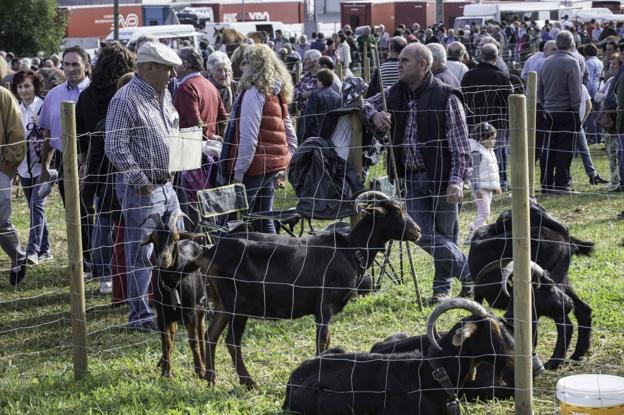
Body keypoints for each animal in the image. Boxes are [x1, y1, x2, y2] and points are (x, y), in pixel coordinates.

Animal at [139, 214, 207, 380]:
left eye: (175, 238)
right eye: (154, 239)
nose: (164, 259)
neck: (172, 283)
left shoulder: (189, 312)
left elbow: (193, 341)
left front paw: (200, 370)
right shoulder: (162, 315)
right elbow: (166, 342)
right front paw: (167, 371)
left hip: (201, 303)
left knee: (201, 331)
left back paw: (204, 361)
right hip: (172, 314)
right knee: (173, 332)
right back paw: (162, 362)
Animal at [193, 192, 422, 390]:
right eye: (397, 212)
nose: (417, 231)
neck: (351, 250)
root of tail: (209, 253)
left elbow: (326, 340)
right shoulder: (324, 306)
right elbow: (322, 340)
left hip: (222, 302)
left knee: (210, 335)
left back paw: (211, 379)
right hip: (239, 303)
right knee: (232, 341)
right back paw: (248, 382)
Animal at [468, 203, 596, 368]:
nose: (563, 227)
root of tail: (566, 240)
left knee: (566, 325)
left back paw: (554, 361)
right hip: (563, 282)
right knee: (583, 310)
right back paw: (577, 355)